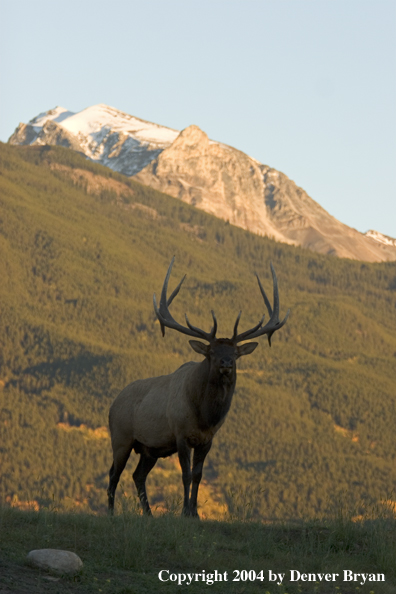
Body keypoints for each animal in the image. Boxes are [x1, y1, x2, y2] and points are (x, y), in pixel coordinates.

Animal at [106, 256, 290, 516]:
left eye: (235, 353)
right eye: (211, 352)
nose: (226, 363)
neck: (205, 416)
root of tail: (112, 403)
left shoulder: (207, 439)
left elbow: (198, 475)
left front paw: (195, 513)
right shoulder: (180, 434)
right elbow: (185, 475)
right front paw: (185, 511)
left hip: (150, 448)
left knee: (137, 475)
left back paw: (149, 513)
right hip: (121, 436)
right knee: (114, 473)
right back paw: (110, 512)